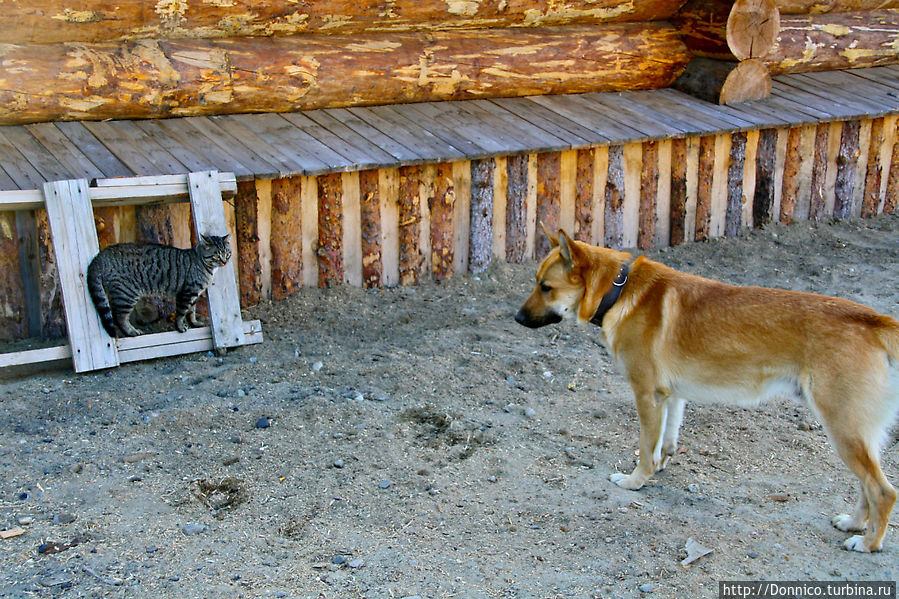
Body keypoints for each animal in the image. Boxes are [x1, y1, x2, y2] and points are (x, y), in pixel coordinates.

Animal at [87, 234, 232, 338]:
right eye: (216, 255)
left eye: (227, 253)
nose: (224, 261)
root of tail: (100, 255)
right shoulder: (186, 293)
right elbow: (181, 313)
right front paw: (180, 326)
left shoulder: (194, 294)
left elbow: (192, 311)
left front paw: (194, 322)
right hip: (127, 294)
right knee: (119, 317)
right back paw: (131, 331)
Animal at [512, 226, 899, 552]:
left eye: (545, 287)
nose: (516, 319)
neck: (618, 289)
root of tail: (872, 320)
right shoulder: (671, 396)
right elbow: (665, 441)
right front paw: (660, 464)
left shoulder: (646, 394)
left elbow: (645, 447)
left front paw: (636, 480)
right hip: (858, 435)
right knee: (867, 486)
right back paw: (853, 524)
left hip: (843, 429)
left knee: (883, 491)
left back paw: (868, 542)